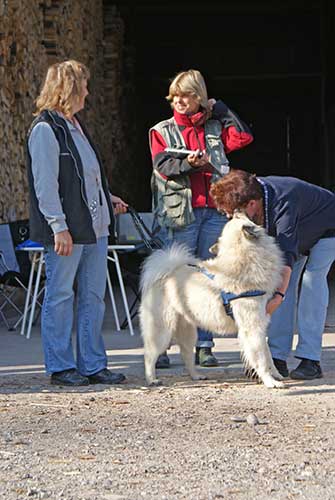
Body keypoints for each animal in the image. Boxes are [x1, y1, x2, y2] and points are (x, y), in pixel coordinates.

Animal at [139, 213, 286, 388]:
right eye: (239, 218)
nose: (236, 212)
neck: (245, 260)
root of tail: (166, 272)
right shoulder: (252, 328)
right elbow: (261, 358)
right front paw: (270, 381)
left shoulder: (260, 326)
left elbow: (268, 355)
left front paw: (276, 374)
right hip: (162, 331)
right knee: (149, 355)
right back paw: (151, 379)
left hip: (188, 330)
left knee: (186, 355)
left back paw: (196, 375)